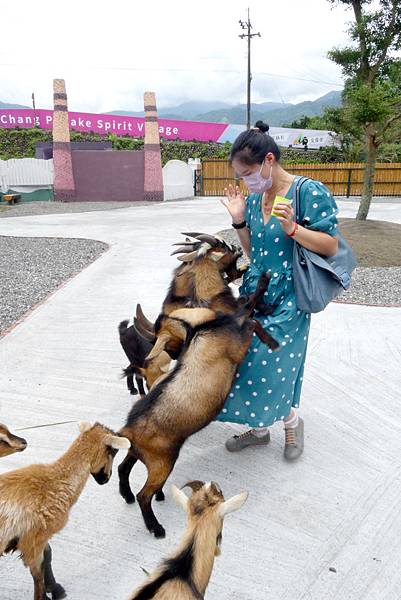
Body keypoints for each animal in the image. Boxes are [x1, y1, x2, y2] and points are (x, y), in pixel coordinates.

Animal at [0, 422, 128, 600]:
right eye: (114, 452)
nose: (106, 479)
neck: (56, 480)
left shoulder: (35, 537)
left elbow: (48, 556)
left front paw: (55, 589)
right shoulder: (33, 540)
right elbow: (38, 576)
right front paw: (49, 593)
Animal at [117, 278, 276, 540]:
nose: (175, 354)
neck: (202, 330)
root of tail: (128, 429)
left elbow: (248, 312)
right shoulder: (238, 346)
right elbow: (250, 317)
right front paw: (272, 339)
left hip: (140, 453)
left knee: (122, 468)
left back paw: (128, 495)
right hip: (162, 462)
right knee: (144, 495)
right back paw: (155, 527)